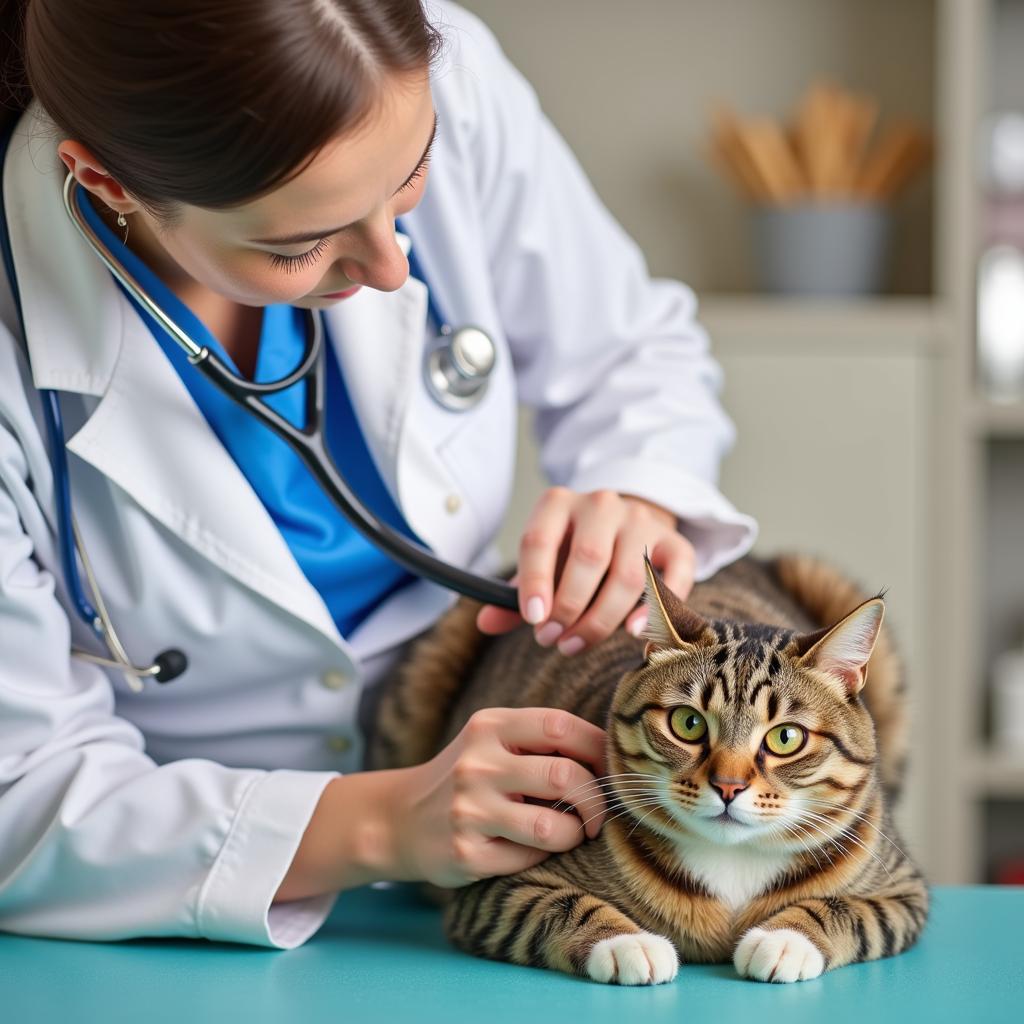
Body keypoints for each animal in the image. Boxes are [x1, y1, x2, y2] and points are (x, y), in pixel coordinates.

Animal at [368, 552, 929, 983]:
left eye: (785, 737)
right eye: (688, 723)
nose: (728, 785)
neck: (731, 860)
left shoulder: (902, 890)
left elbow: (847, 911)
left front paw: (786, 940)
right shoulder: (493, 884)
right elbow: (552, 907)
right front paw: (625, 944)